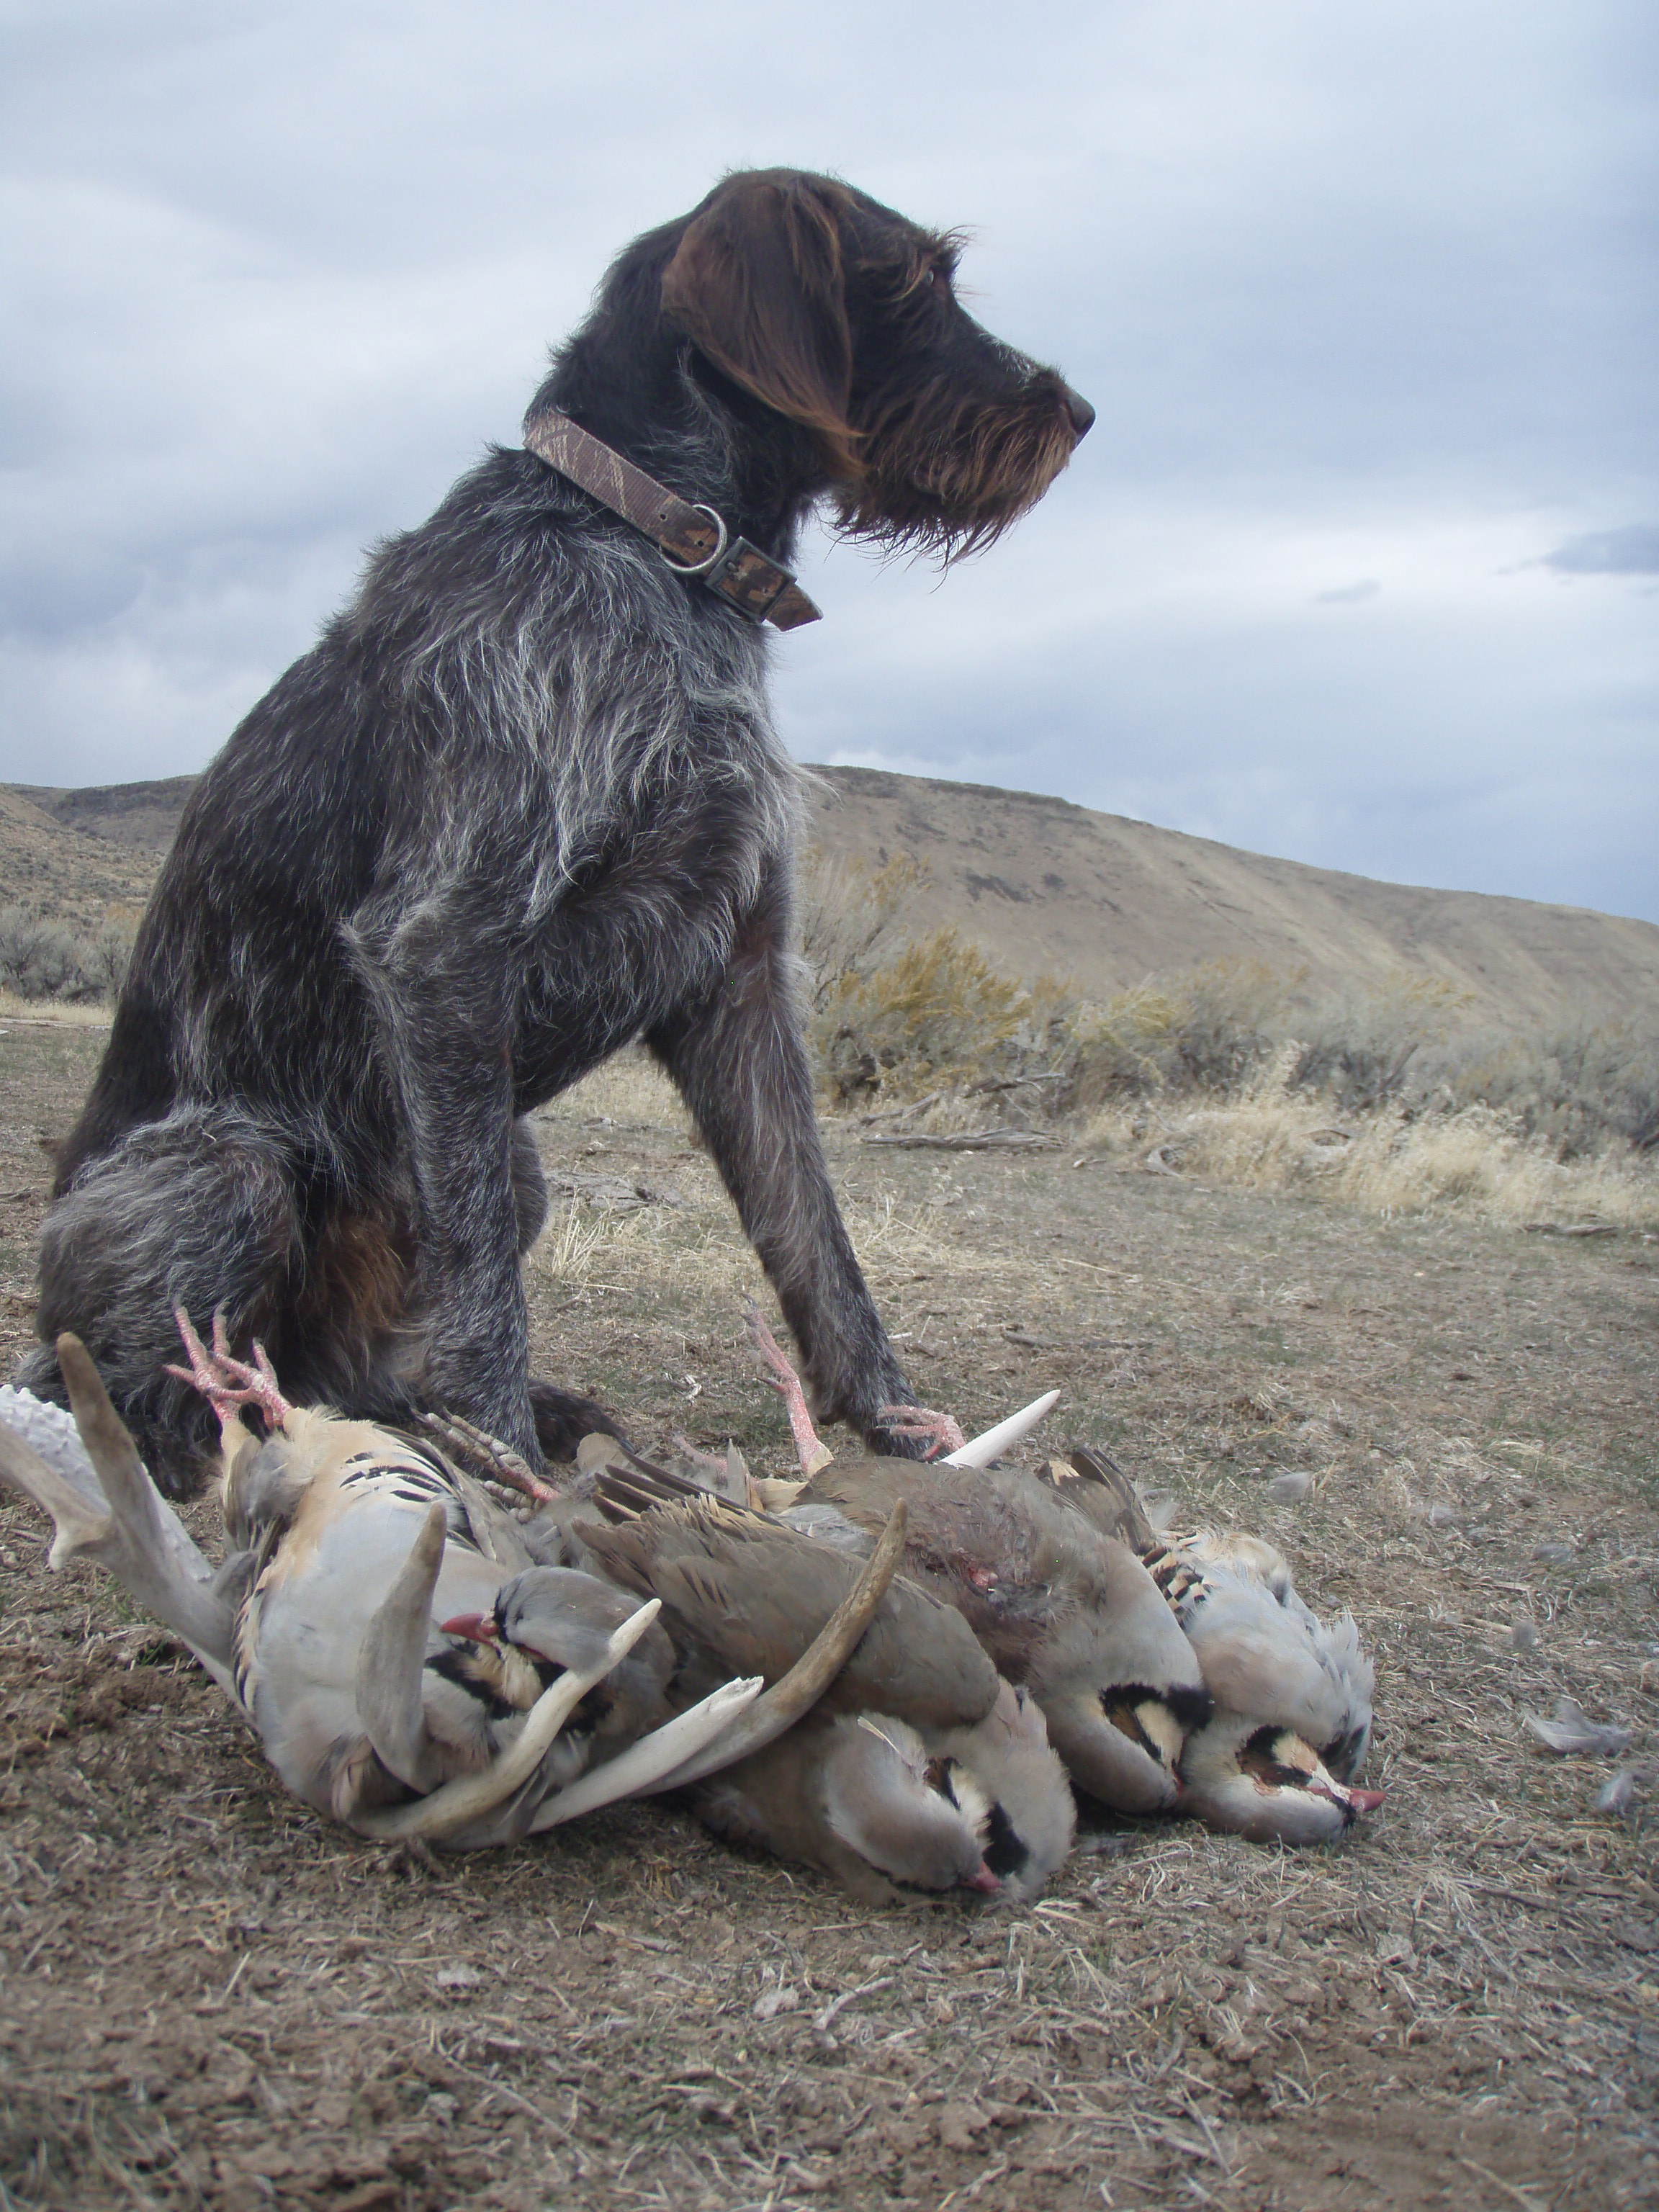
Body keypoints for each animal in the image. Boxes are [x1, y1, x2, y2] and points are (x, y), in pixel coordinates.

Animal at [22, 163, 1106, 1495]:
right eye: (914, 281)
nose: (1078, 411)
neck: (655, 545)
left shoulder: (739, 972)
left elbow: (815, 1235)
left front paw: (894, 1429)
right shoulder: (442, 945)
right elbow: (480, 1269)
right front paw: (500, 1456)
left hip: (512, 1159)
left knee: (354, 1367)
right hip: (226, 1171)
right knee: (156, 1383)